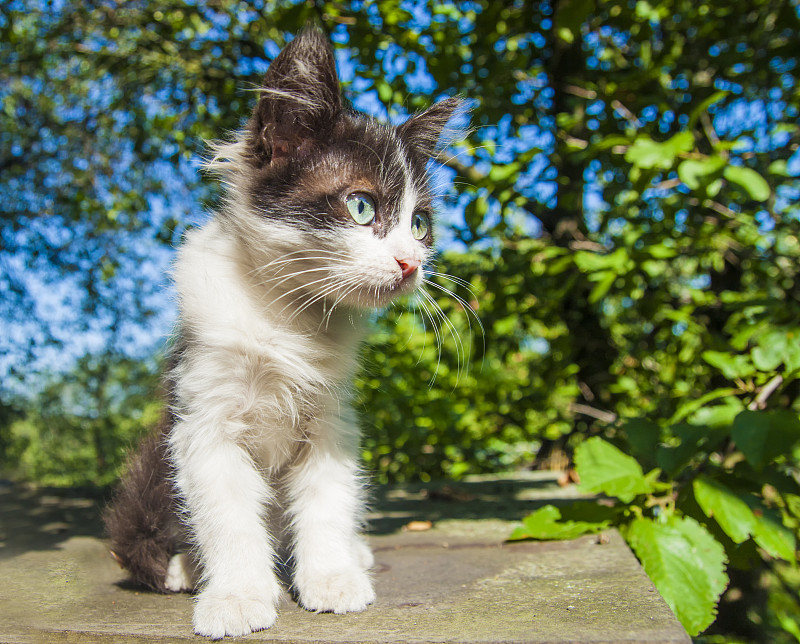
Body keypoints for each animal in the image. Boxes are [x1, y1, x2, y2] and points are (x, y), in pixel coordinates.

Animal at [103, 26, 462, 640]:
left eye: (419, 226)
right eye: (361, 206)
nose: (411, 264)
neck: (287, 314)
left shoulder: (332, 420)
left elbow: (327, 499)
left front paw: (332, 577)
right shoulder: (203, 415)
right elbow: (227, 514)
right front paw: (238, 595)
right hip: (152, 465)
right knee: (139, 541)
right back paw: (184, 566)